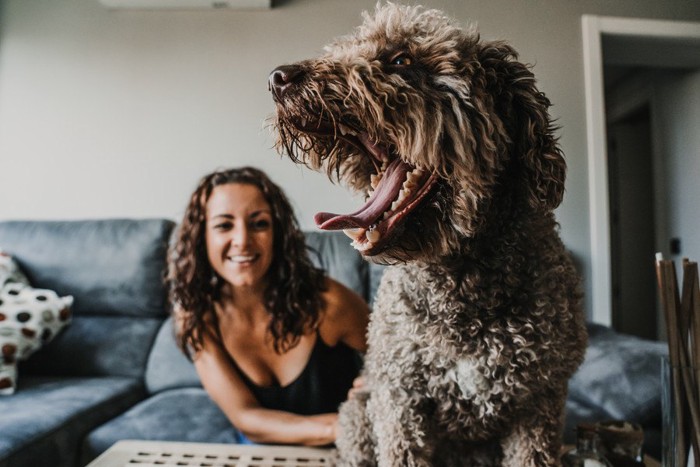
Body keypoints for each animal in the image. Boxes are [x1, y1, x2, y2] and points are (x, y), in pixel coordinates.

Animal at [266, 2, 584, 464]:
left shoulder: (538, 405)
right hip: (359, 414)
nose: (278, 78)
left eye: (401, 60)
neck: (460, 287)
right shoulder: (400, 400)